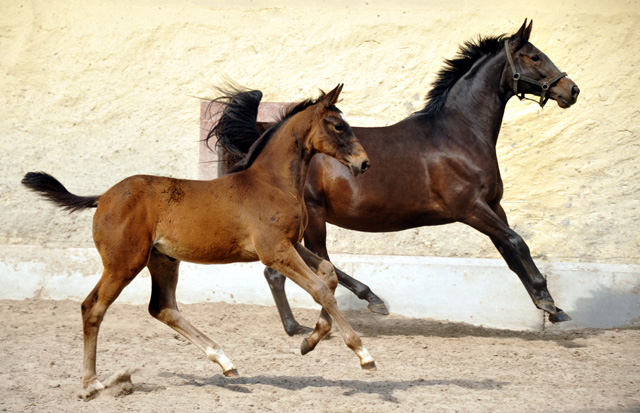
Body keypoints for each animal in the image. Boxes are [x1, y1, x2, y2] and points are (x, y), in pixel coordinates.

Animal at [22, 84, 376, 396]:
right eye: (339, 126)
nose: (364, 163)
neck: (272, 183)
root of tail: (103, 198)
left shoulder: (290, 244)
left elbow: (328, 274)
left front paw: (310, 340)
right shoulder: (274, 250)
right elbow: (319, 289)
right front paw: (362, 354)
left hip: (163, 260)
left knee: (162, 307)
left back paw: (225, 361)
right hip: (124, 262)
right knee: (92, 307)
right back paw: (92, 384)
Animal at [211, 20, 580, 334]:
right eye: (534, 56)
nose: (571, 90)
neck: (458, 133)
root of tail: (264, 142)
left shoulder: (493, 206)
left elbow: (511, 253)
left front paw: (552, 308)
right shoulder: (470, 208)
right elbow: (517, 243)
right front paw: (548, 301)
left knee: (282, 269)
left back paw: (303, 323)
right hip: (312, 216)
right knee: (311, 264)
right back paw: (367, 302)